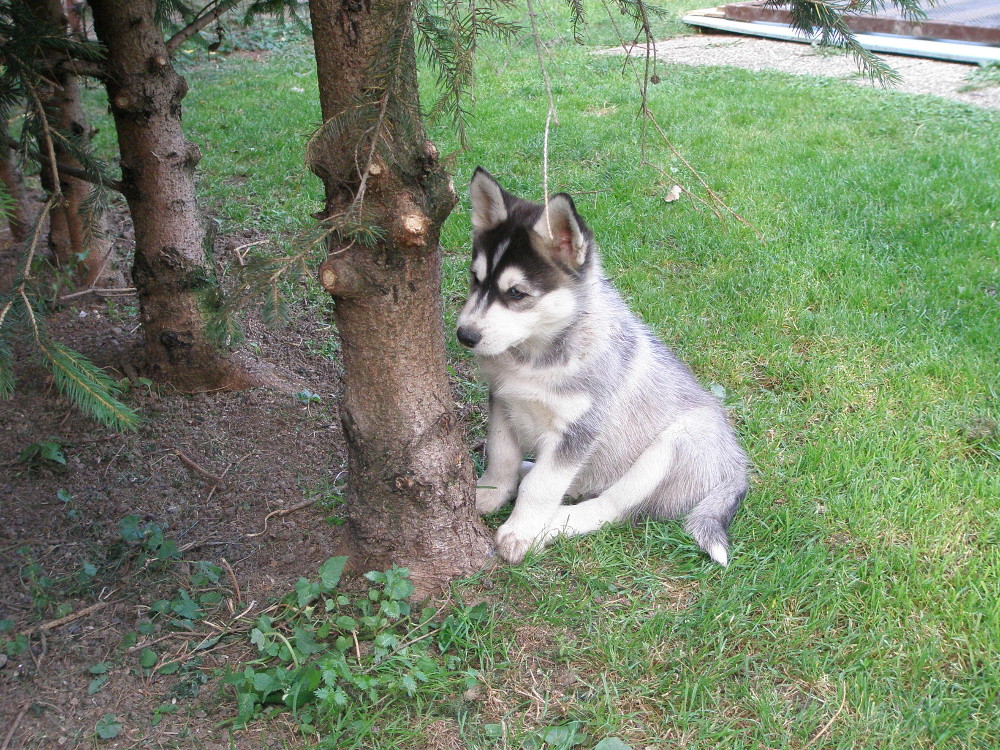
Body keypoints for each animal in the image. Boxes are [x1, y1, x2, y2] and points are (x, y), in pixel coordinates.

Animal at [456, 167, 749, 566]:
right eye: (476, 278)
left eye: (516, 293)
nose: (464, 335)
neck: (534, 359)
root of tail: (735, 464)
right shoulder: (503, 399)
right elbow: (500, 455)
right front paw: (488, 492)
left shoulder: (579, 429)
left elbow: (541, 487)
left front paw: (521, 531)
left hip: (672, 447)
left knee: (609, 507)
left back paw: (554, 524)